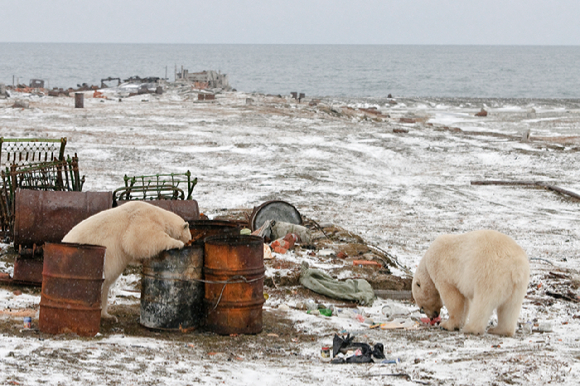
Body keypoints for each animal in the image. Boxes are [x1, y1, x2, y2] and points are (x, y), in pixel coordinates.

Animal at [62, 201, 191, 318]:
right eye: (189, 238)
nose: (190, 243)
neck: (161, 215)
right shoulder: (143, 218)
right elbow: (140, 239)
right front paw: (177, 243)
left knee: (104, 287)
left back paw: (108, 315)